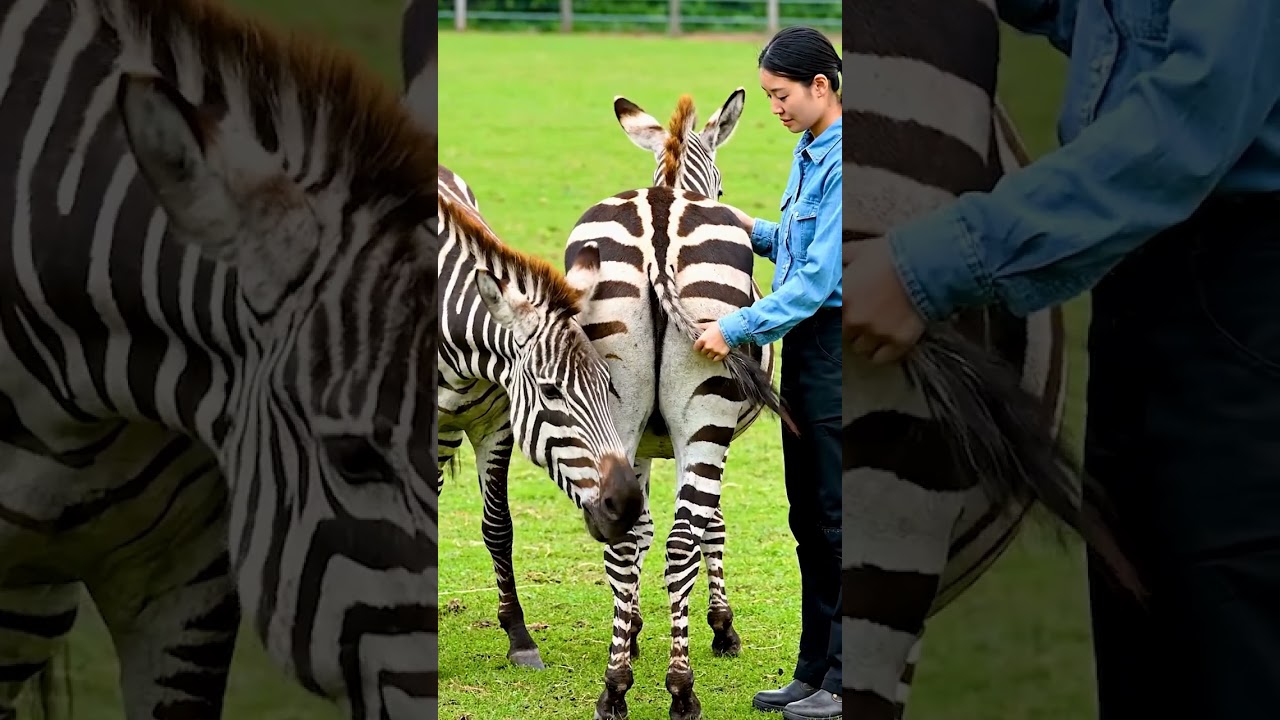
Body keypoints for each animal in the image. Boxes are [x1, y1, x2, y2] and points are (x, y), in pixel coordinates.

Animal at [435, 163, 645, 670]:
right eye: (551, 390)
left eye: (609, 385)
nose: (627, 504)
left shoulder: (495, 428)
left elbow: (498, 529)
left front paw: (519, 637)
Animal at [563, 91, 794, 720]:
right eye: (721, 182)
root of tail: (662, 222)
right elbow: (713, 527)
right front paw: (722, 626)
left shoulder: (637, 443)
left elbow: (634, 530)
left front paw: (632, 632)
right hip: (707, 413)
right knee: (685, 537)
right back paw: (682, 687)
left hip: (611, 401)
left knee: (628, 536)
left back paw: (615, 687)